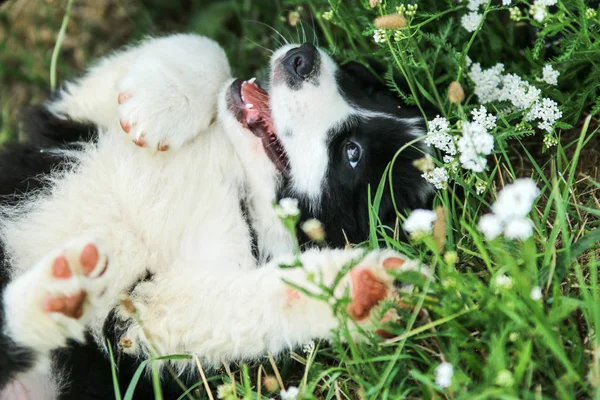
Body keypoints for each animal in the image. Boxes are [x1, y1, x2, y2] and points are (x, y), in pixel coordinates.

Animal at [0, 35, 432, 400]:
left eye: (352, 153)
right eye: (358, 79)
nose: (301, 58)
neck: (241, 186)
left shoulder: (149, 315)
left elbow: (245, 305)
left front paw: (364, 286)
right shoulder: (66, 123)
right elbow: (207, 48)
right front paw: (156, 106)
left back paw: (62, 287)